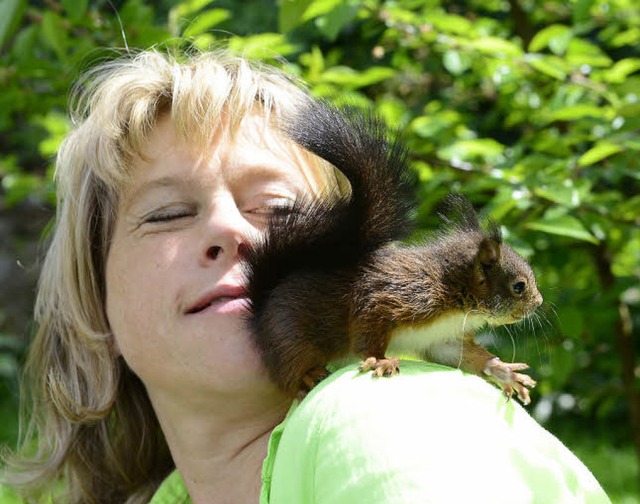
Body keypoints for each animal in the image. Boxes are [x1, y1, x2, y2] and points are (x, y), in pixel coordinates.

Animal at [242, 100, 544, 404]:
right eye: (519, 286)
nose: (539, 304)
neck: (454, 295)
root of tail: (263, 305)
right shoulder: (391, 297)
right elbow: (367, 332)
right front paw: (379, 360)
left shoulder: (444, 339)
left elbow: (466, 356)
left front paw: (504, 372)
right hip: (289, 338)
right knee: (291, 370)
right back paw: (306, 376)